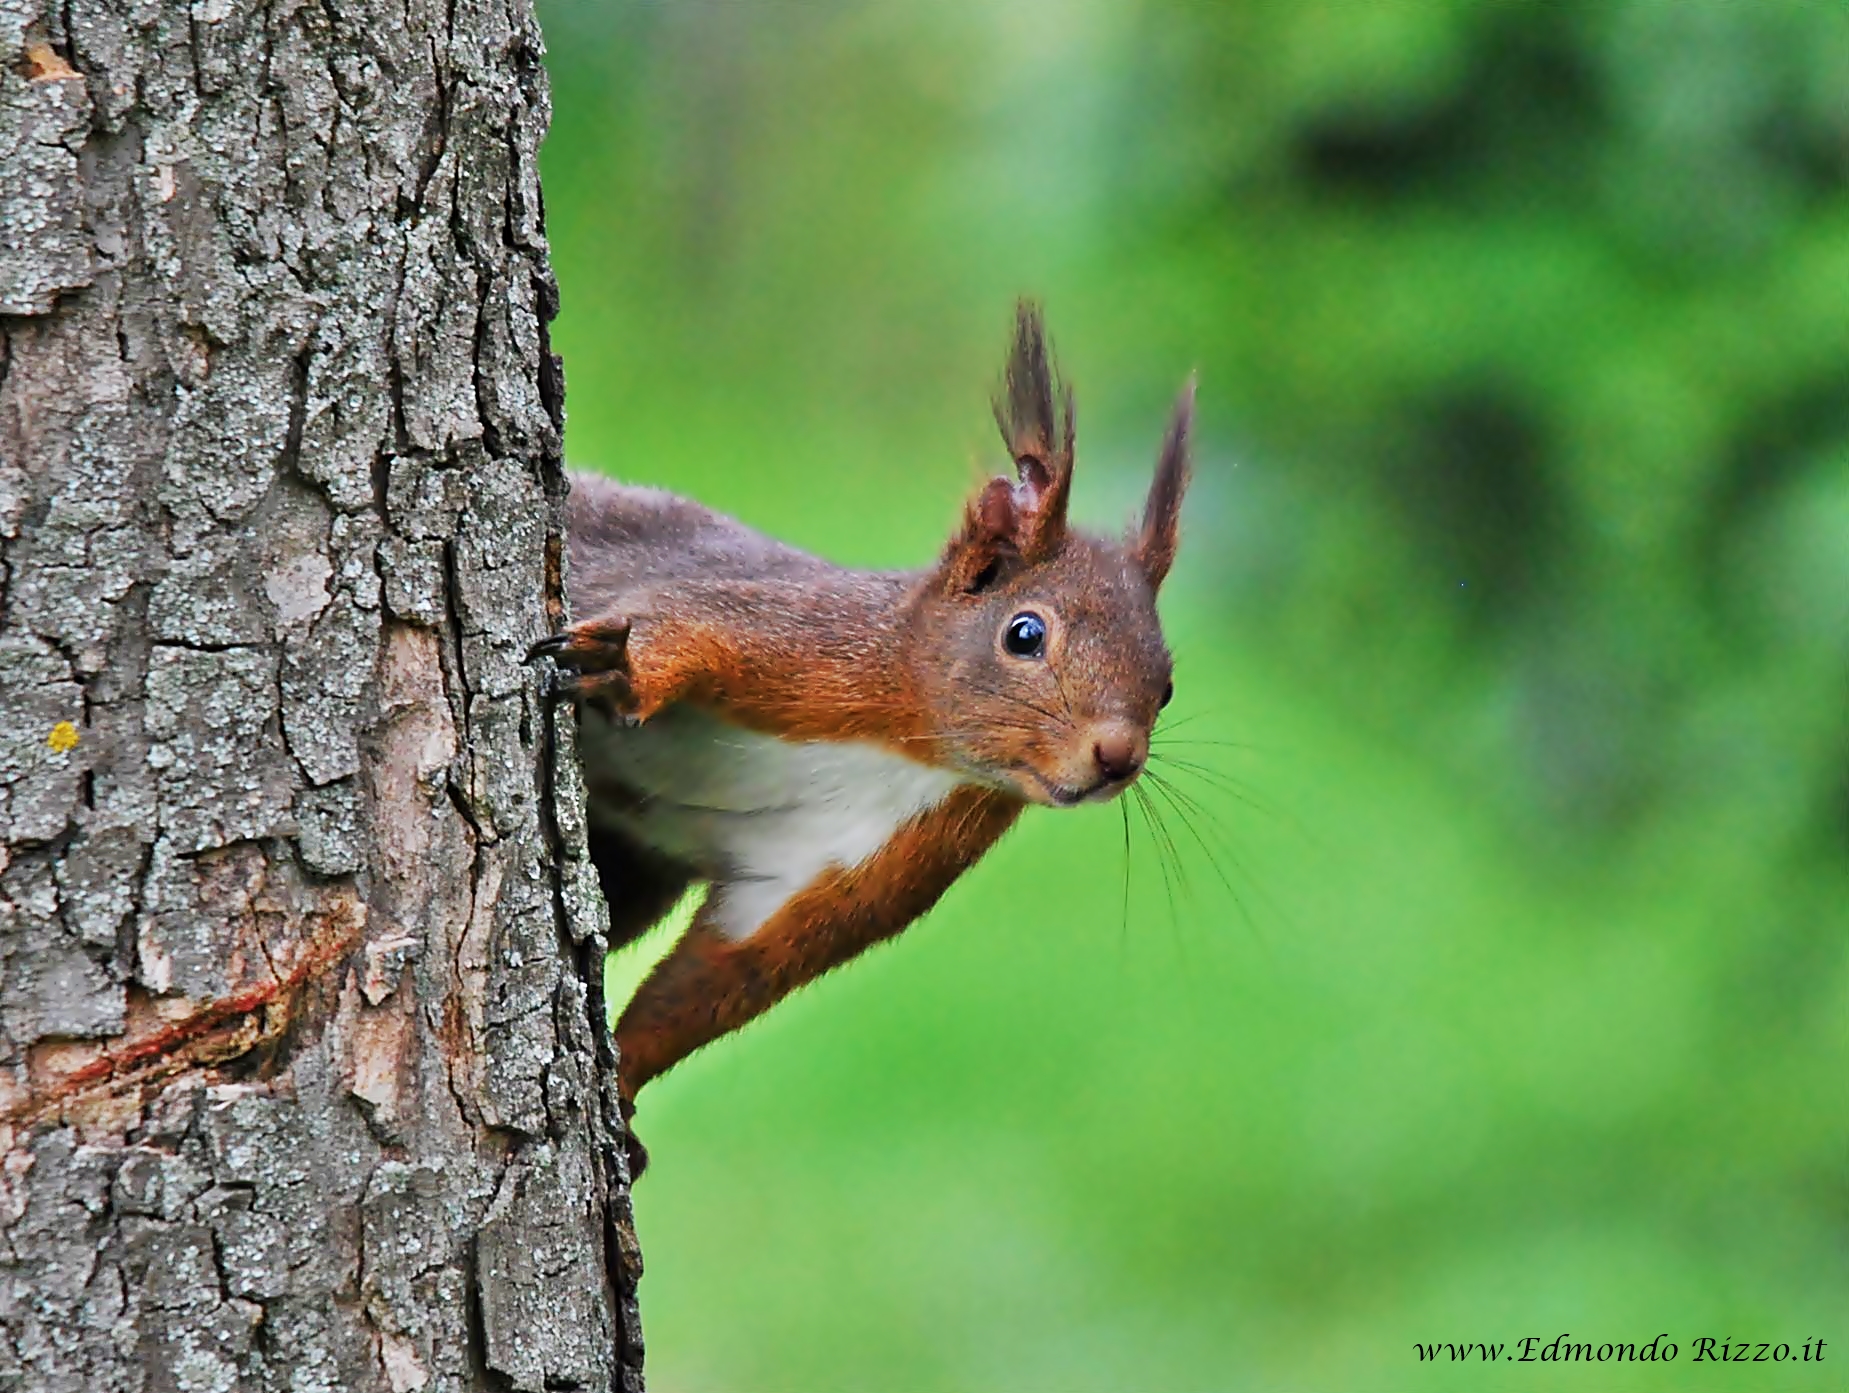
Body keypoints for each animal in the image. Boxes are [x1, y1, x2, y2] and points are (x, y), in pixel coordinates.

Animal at [532, 302, 1192, 1177]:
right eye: (1024, 633)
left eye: (1167, 685)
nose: (1116, 758)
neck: (913, 752)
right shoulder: (802, 638)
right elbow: (684, 622)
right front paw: (623, 667)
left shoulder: (857, 864)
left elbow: (717, 979)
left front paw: (623, 1087)